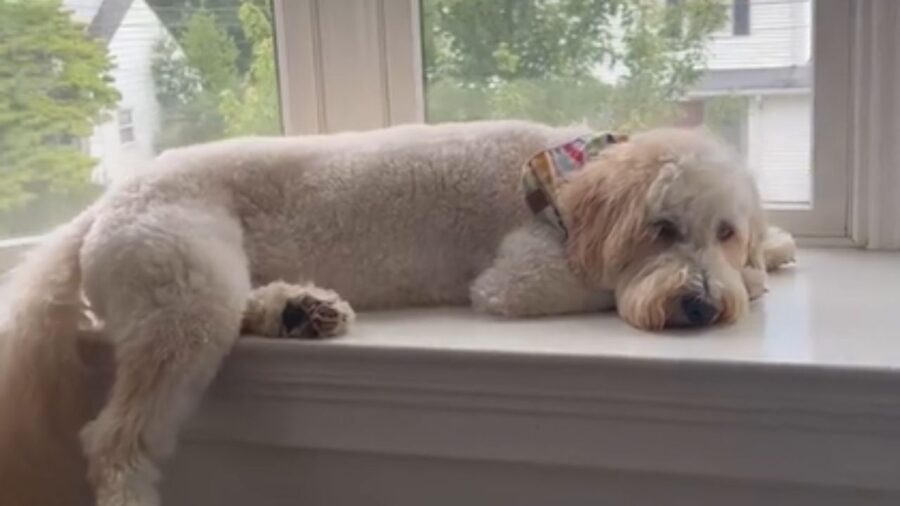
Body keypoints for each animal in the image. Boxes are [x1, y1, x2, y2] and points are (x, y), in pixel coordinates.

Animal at [0, 119, 792, 506]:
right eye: (662, 229)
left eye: (724, 230)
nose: (698, 303)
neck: (569, 174)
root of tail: (104, 205)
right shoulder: (522, 276)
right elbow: (594, 280)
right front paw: (749, 278)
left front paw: (772, 248)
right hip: (182, 295)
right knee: (113, 440)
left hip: (206, 282)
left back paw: (300, 310)